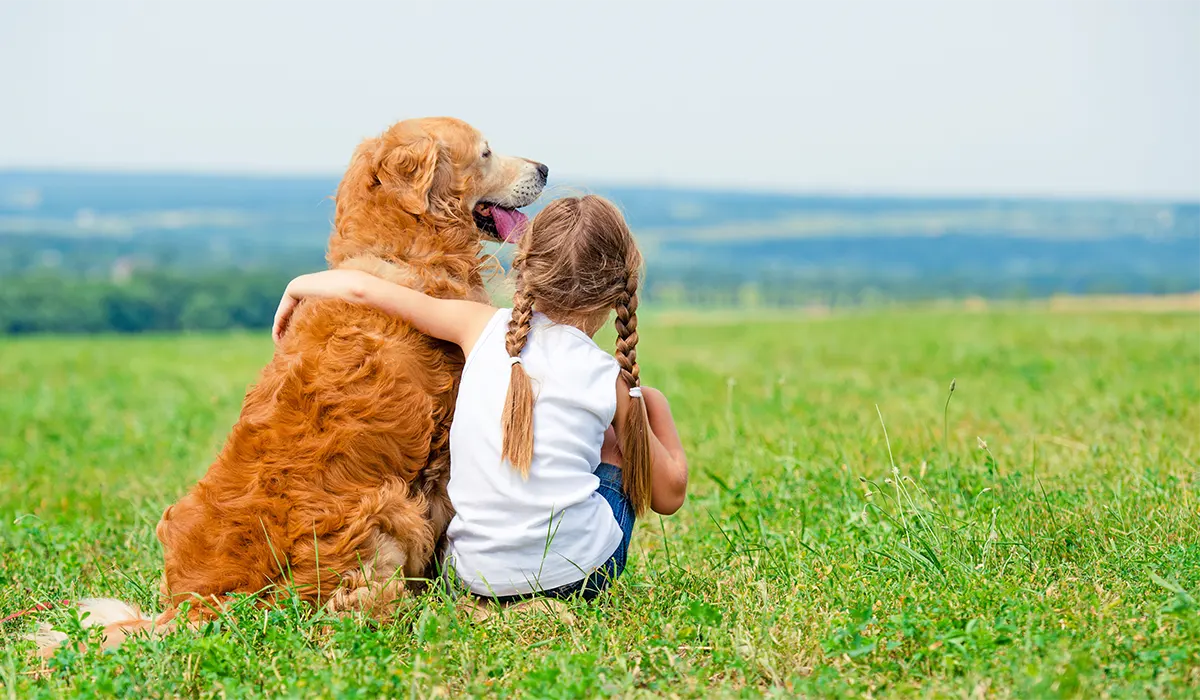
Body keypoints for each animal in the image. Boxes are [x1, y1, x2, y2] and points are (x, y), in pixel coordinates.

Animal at [32, 115, 549, 657]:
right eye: (487, 152)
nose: (545, 169)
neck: (399, 251)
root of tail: (201, 606)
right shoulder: (442, 451)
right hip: (388, 507)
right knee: (364, 611)